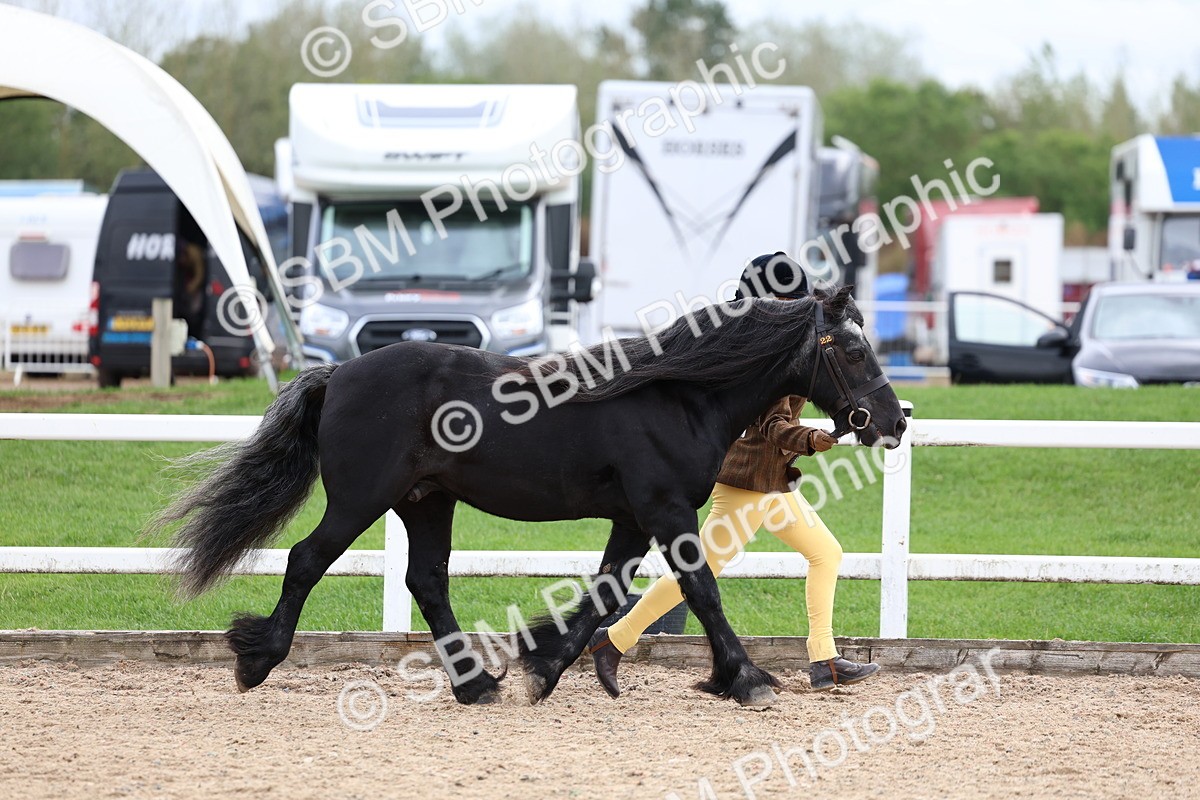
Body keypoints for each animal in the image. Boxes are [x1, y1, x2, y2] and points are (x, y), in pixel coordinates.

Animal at [151, 286, 906, 707]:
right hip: (362, 500)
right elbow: (701, 590)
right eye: (853, 350)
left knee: (426, 580)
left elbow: (607, 594)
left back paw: (475, 685)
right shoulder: (664, 511)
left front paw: (543, 669)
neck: (678, 395)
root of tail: (337, 374)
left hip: (427, 501)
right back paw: (257, 661)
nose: (892, 421)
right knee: (307, 560)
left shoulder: (632, 518)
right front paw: (746, 679)